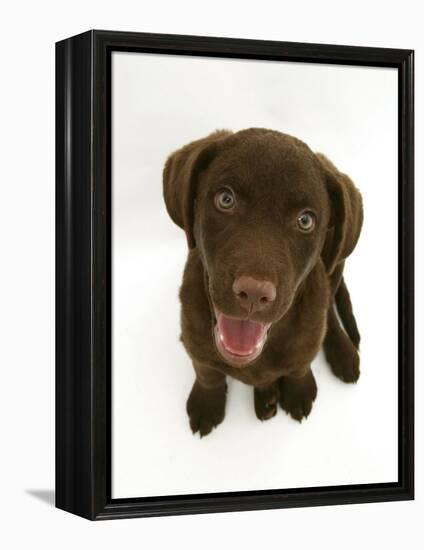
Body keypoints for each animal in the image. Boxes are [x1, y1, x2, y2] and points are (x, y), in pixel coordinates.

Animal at [162, 127, 362, 438]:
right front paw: (207, 404)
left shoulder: (305, 341)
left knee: (329, 307)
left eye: (305, 221)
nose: (254, 293)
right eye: (226, 199)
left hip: (336, 262)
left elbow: (300, 365)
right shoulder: (194, 340)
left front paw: (299, 391)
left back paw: (342, 353)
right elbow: (207, 372)